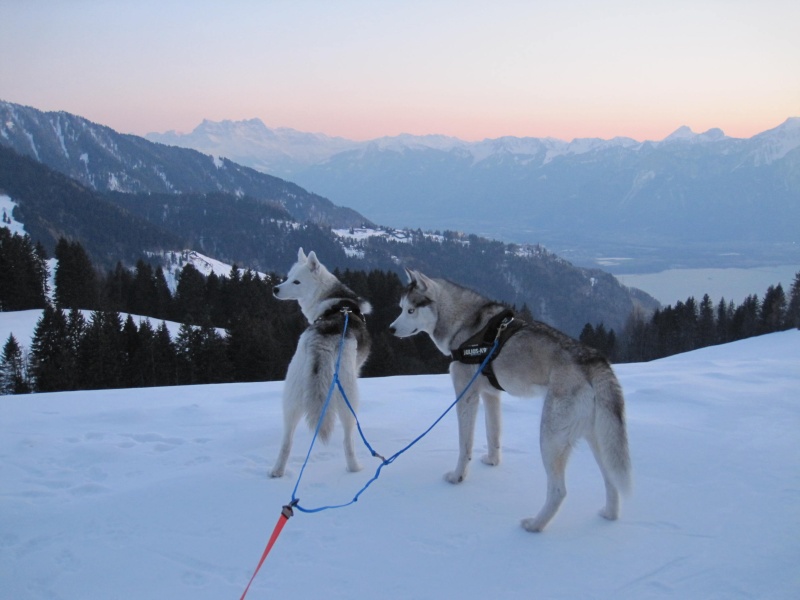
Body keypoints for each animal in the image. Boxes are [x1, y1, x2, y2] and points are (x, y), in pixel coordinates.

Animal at [268, 248, 368, 478]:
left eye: (295, 281)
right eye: (289, 278)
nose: (275, 289)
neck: (334, 300)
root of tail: (321, 340)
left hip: (292, 394)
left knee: (287, 440)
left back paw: (278, 470)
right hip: (348, 393)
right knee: (348, 438)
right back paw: (355, 468)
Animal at [392, 270, 632, 532]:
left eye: (410, 310)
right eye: (401, 308)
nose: (391, 329)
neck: (465, 323)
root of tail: (593, 360)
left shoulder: (466, 395)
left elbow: (465, 445)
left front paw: (458, 477)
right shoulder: (491, 395)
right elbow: (493, 434)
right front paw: (492, 461)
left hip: (550, 437)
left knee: (559, 491)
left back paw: (535, 525)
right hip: (597, 439)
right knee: (611, 480)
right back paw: (609, 515)